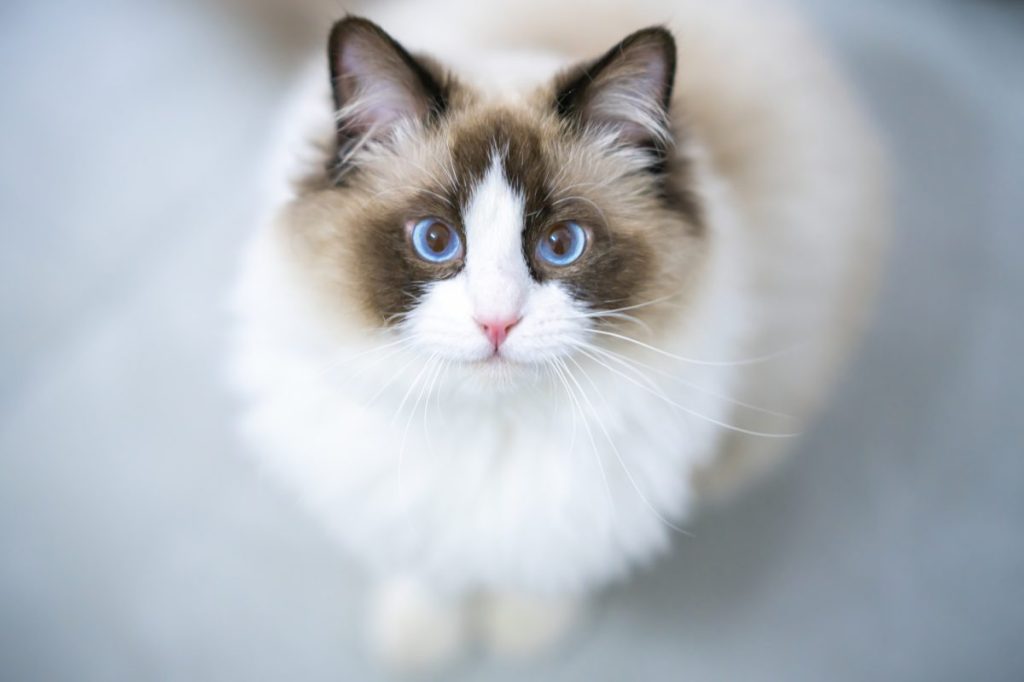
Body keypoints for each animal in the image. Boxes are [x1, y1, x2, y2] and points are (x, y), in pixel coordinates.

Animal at [228, 0, 884, 667]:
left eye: (562, 245)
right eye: (435, 240)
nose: (497, 320)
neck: (494, 432)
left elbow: (549, 566)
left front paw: (526, 633)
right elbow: (430, 566)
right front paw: (422, 640)